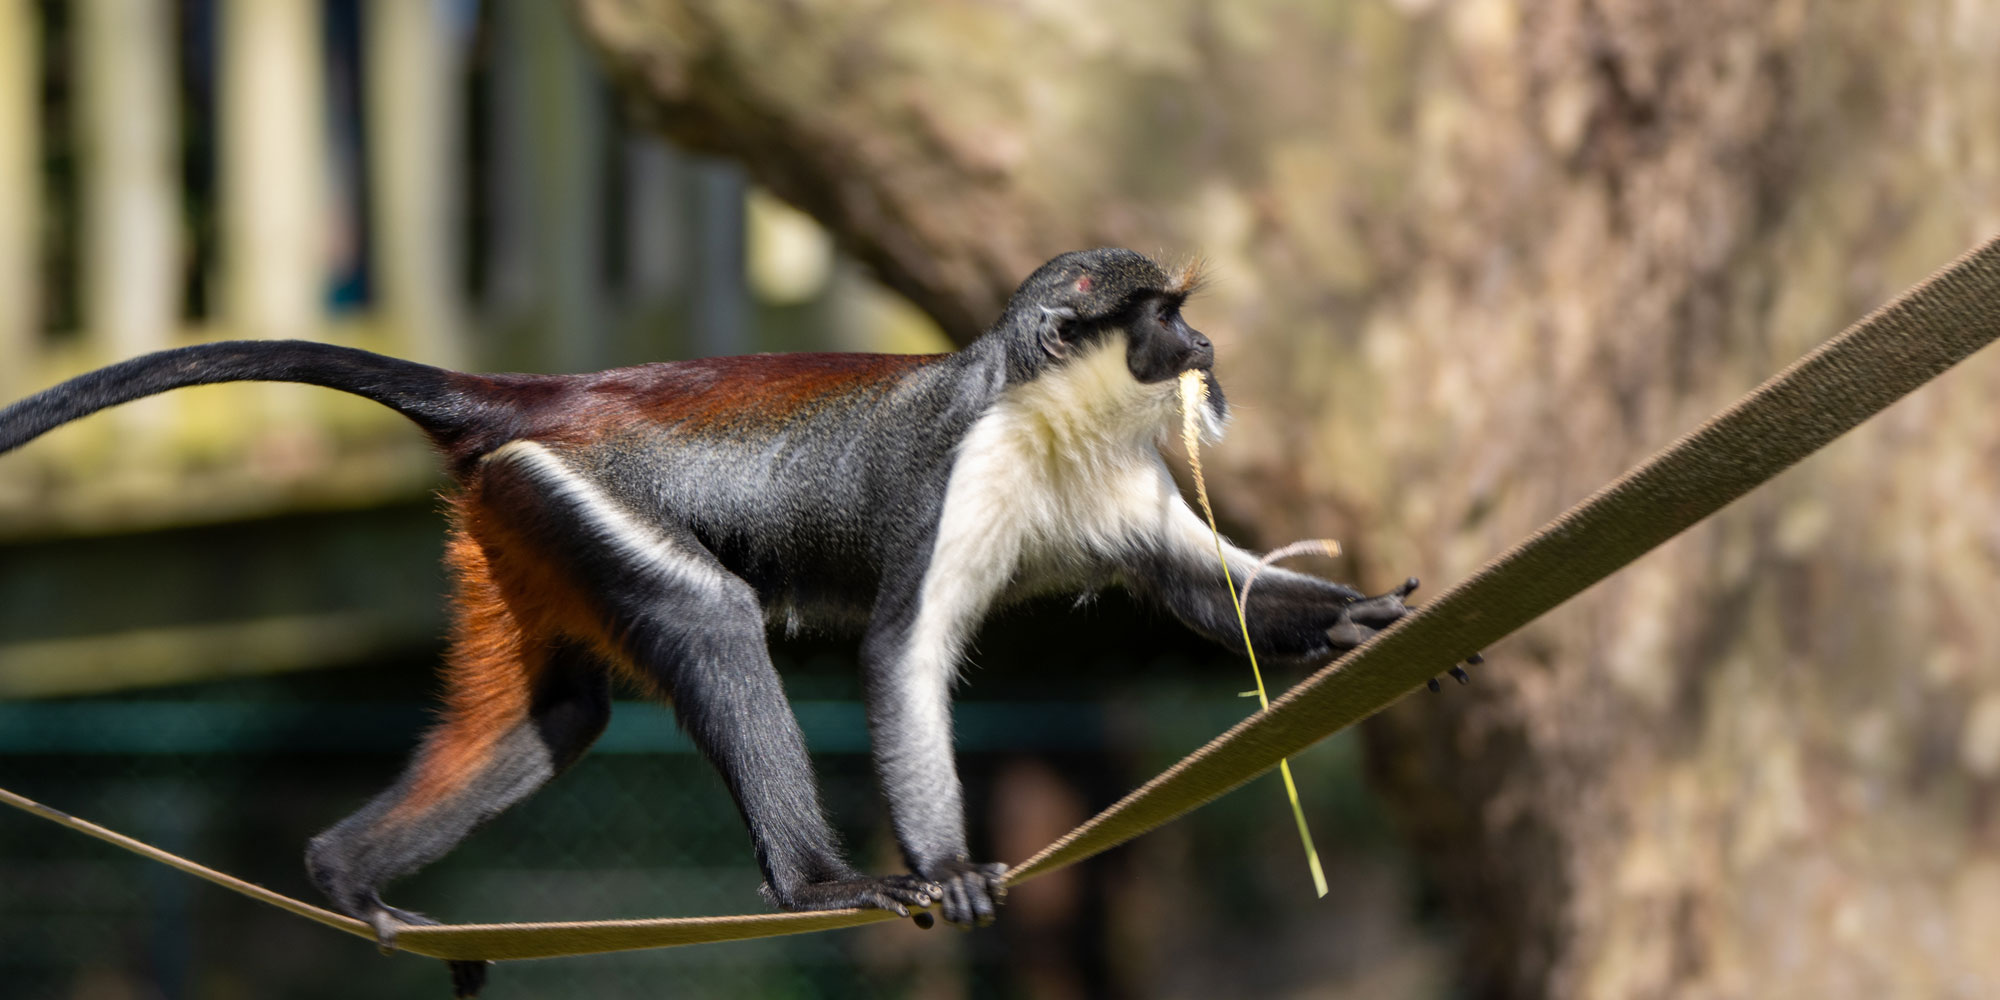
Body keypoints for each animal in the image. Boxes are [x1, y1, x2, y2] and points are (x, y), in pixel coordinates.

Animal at [0, 248, 1443, 996]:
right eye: (1163, 316)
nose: (1204, 353)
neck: (1051, 409)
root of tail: (537, 395)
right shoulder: (963, 473)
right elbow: (900, 658)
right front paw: (948, 866)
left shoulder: (1122, 483)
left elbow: (1213, 595)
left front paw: (1366, 622)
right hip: (575, 494)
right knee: (706, 616)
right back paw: (813, 885)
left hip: (516, 513)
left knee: (561, 711)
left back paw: (345, 874)